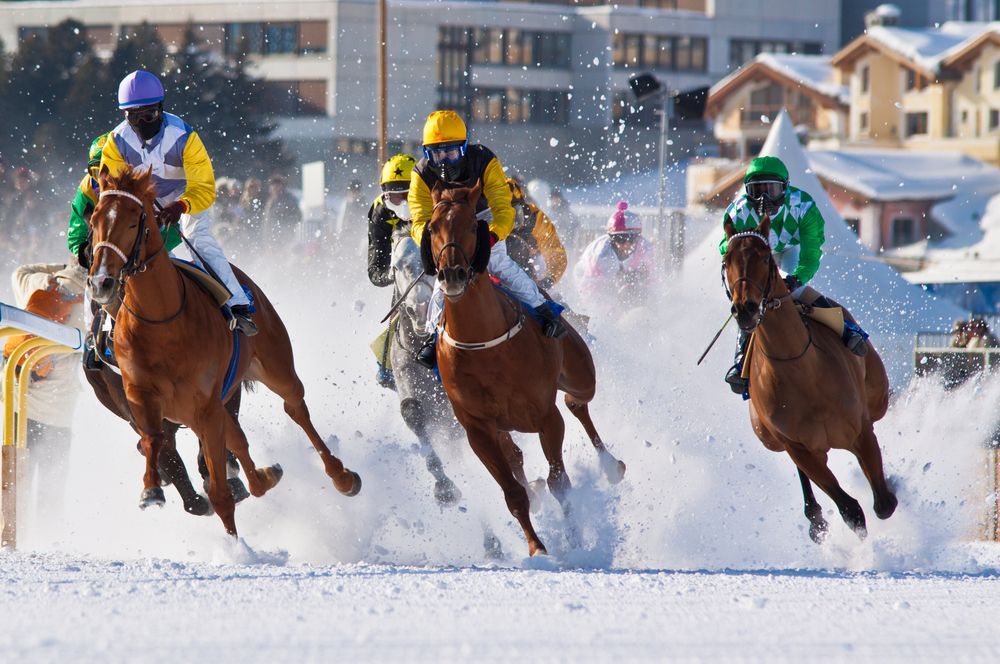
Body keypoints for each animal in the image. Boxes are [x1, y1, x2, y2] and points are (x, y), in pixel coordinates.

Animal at [86, 166, 360, 536]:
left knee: (295, 408)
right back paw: (262, 477)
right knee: (239, 440)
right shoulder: (143, 397)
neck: (162, 324)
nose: (102, 282)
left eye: (133, 222)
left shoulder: (205, 407)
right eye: (94, 220)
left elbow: (219, 491)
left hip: (275, 367)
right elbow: (155, 440)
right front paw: (151, 490)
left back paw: (342, 477)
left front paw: (235, 543)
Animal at [422, 180, 624, 556]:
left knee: (578, 403)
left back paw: (610, 466)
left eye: (472, 225)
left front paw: (574, 539)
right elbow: (513, 493)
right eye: (432, 228)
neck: (484, 345)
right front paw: (537, 547)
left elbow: (560, 481)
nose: (452, 275)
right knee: (517, 454)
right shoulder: (478, 430)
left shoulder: (546, 415)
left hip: (581, 372)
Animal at [720, 215, 900, 544]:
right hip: (772, 439)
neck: (802, 374)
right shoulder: (799, 446)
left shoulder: (860, 430)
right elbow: (851, 509)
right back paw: (814, 517)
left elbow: (883, 502)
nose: (745, 309)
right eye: (727, 261)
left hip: (878, 397)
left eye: (764, 258)